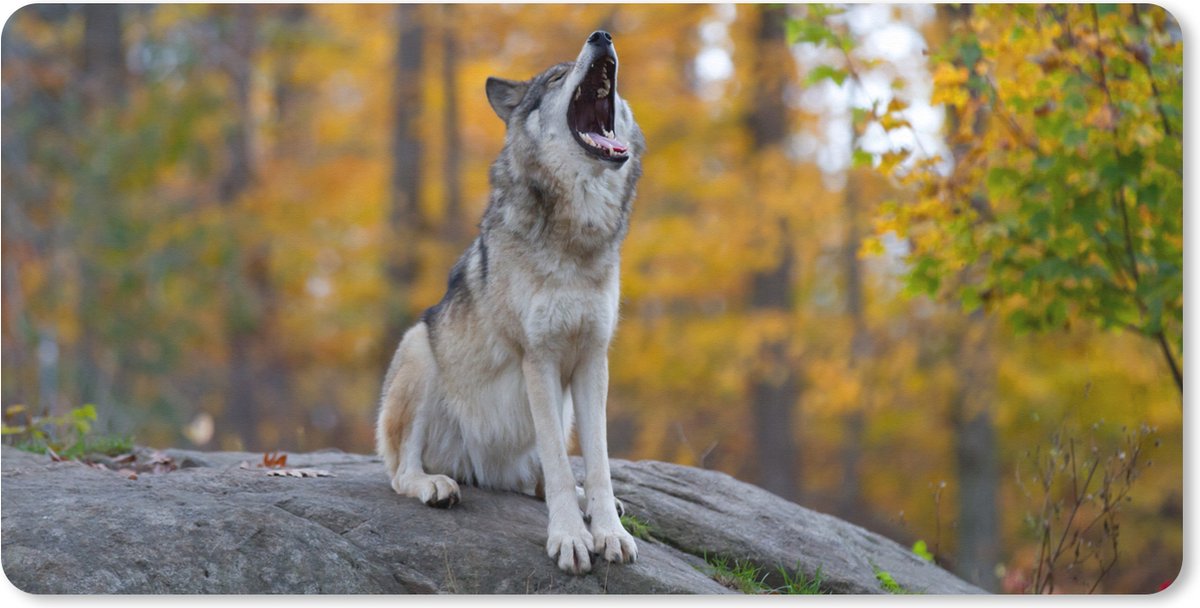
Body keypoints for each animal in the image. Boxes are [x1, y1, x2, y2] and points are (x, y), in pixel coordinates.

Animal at [375, 30, 645, 575]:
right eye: (557, 77)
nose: (602, 35)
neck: (576, 236)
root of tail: (485, 470)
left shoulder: (592, 359)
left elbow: (598, 465)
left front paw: (608, 531)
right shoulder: (537, 358)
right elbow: (561, 468)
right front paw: (570, 539)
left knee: (538, 479)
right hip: (419, 348)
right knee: (401, 472)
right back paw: (436, 485)